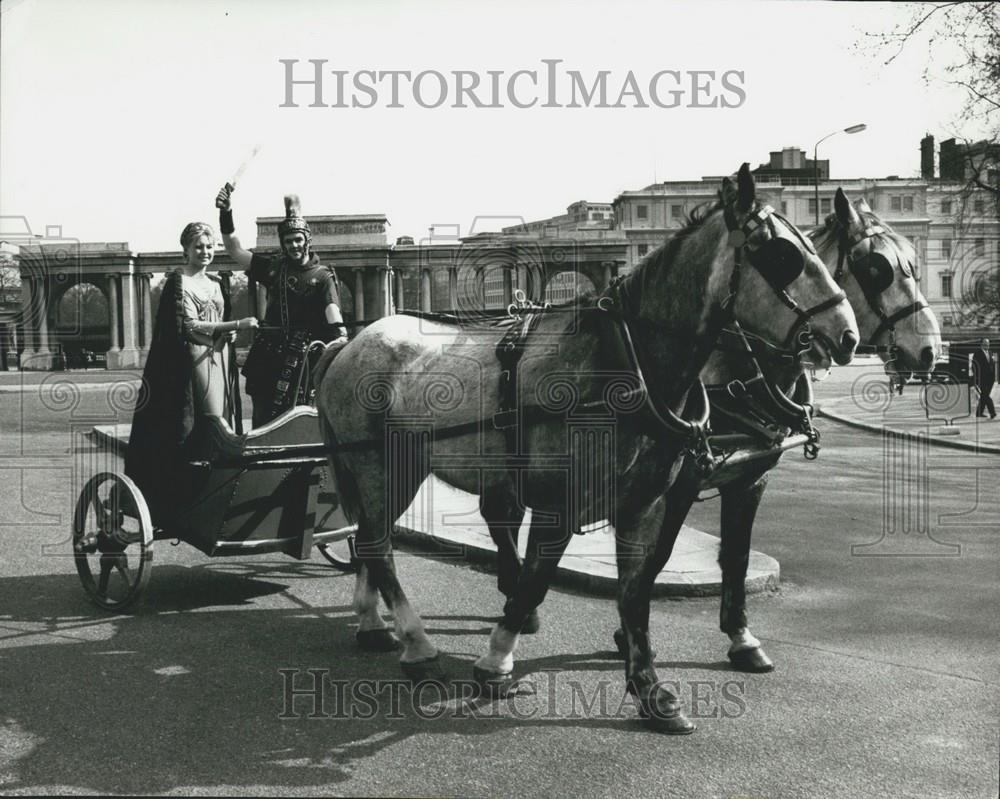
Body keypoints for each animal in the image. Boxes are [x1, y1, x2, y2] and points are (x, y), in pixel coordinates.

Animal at [314, 166, 860, 736]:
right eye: (782, 254)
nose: (846, 336)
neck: (625, 364)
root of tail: (350, 342)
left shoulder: (646, 502)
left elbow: (637, 592)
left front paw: (651, 691)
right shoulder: (561, 502)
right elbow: (536, 582)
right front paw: (497, 661)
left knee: (369, 538)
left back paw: (373, 623)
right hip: (383, 466)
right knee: (377, 543)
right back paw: (417, 645)